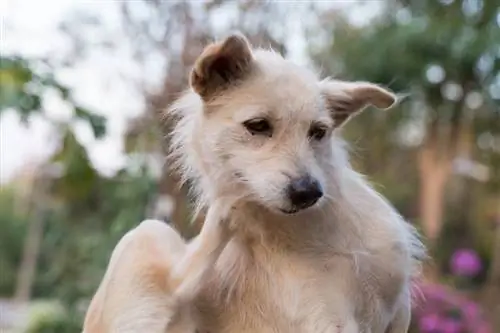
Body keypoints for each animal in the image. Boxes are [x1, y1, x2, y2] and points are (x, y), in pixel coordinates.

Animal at [83, 31, 426, 332]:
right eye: (258, 125)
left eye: (318, 132)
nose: (308, 192)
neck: (314, 231)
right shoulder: (325, 320)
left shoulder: (398, 312)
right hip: (147, 233)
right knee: (178, 281)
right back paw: (226, 209)